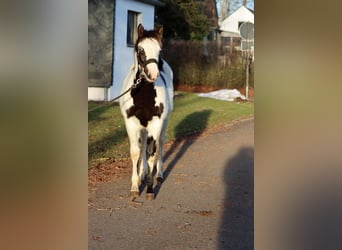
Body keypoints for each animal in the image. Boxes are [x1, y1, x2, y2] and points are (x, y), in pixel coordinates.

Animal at [119, 23, 174, 199]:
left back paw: (159, 175)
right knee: (142, 146)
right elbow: (136, 153)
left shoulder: (156, 124)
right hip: (143, 128)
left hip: (163, 124)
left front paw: (150, 189)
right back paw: (142, 175)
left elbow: (152, 154)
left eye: (160, 50)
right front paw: (135, 187)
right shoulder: (131, 124)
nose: (153, 74)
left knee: (160, 145)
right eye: (140, 49)